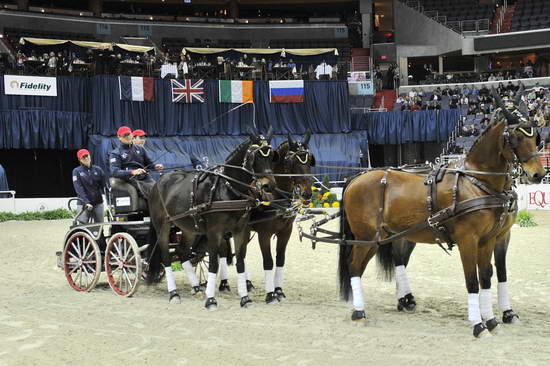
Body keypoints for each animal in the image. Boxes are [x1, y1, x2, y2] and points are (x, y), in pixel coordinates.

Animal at [146, 129, 278, 308]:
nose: (268, 185)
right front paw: (211, 299)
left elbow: (240, 262)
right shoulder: (214, 232)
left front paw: (245, 298)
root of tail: (158, 181)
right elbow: (214, 264)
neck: (228, 189)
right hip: (162, 226)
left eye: (271, 156)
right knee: (166, 256)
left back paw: (196, 287)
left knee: (182, 251)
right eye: (255, 157)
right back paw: (174, 293)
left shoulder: (240, 230)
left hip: (189, 228)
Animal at [340, 95, 548, 338]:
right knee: (354, 266)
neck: (477, 181)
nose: (538, 174)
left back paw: (397, 301)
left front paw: (494, 319)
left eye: (535, 137)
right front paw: (478, 325)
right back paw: (359, 312)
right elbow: (472, 280)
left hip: (385, 236)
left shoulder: (491, 238)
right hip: (366, 236)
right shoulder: (468, 239)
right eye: (516, 137)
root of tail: (356, 178)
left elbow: (488, 276)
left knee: (385, 262)